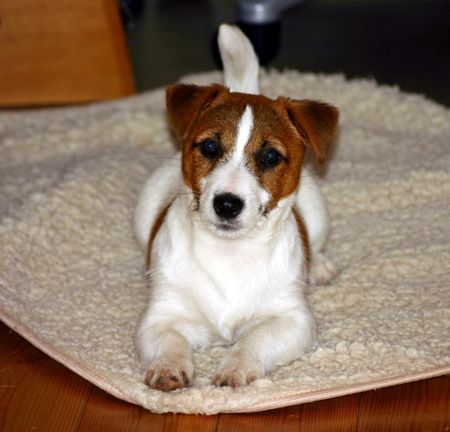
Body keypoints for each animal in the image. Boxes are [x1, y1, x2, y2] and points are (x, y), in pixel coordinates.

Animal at [134, 26, 338, 392]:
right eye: (210, 147)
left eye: (270, 156)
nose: (227, 203)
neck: (229, 252)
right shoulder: (161, 316)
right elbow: (169, 340)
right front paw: (169, 366)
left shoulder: (292, 319)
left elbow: (255, 339)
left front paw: (237, 366)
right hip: (143, 215)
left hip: (317, 214)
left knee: (316, 244)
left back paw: (320, 265)